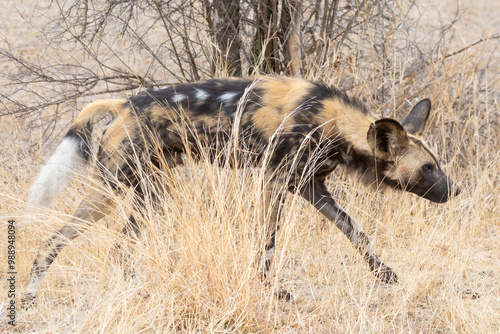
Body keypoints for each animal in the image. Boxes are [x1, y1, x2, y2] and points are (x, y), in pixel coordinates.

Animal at [23, 75, 460, 306]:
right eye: (427, 169)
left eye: (437, 163)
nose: (456, 190)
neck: (333, 121)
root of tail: (124, 103)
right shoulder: (274, 181)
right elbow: (268, 242)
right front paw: (272, 292)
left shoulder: (310, 186)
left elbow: (356, 232)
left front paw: (384, 273)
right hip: (115, 190)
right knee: (56, 239)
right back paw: (29, 294)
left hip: (150, 194)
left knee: (118, 248)